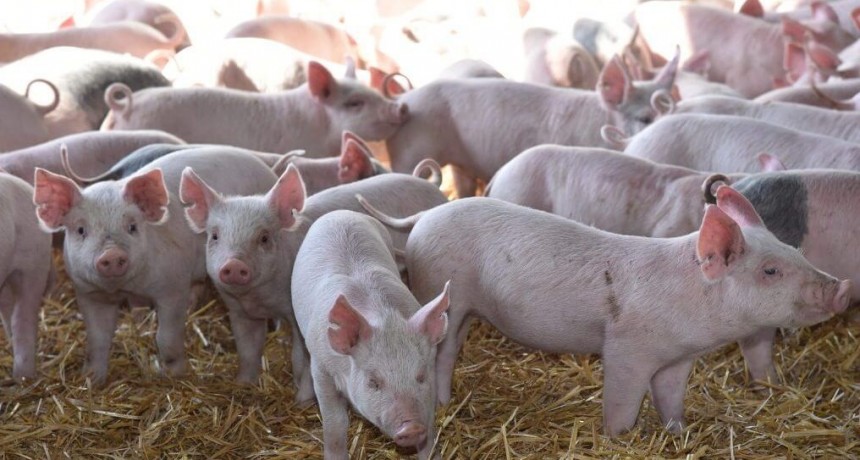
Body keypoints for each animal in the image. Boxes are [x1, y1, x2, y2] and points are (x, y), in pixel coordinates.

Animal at [32, 149, 276, 384]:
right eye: (81, 230)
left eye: (132, 226)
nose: (112, 254)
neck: (126, 287)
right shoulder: (89, 293)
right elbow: (97, 339)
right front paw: (92, 379)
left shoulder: (173, 286)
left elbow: (165, 337)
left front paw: (173, 374)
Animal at [178, 166, 447, 384]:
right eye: (214, 236)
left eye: (264, 237)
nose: (233, 264)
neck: (260, 299)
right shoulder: (239, 312)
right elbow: (247, 350)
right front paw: (243, 385)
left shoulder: (295, 313)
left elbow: (300, 359)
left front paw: (302, 401)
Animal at [292, 210, 450, 458]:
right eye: (373, 382)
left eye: (421, 376)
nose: (412, 427)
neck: (384, 317)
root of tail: (341, 213)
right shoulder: (321, 367)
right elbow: (335, 423)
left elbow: (431, 422)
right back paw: (302, 401)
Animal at [357, 191, 852, 435]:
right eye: (770, 270)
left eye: (794, 251)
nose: (842, 288)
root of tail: (423, 215)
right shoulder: (628, 348)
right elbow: (622, 400)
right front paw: (619, 438)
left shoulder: (678, 359)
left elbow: (670, 397)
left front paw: (678, 432)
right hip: (442, 292)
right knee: (442, 353)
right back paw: (442, 404)